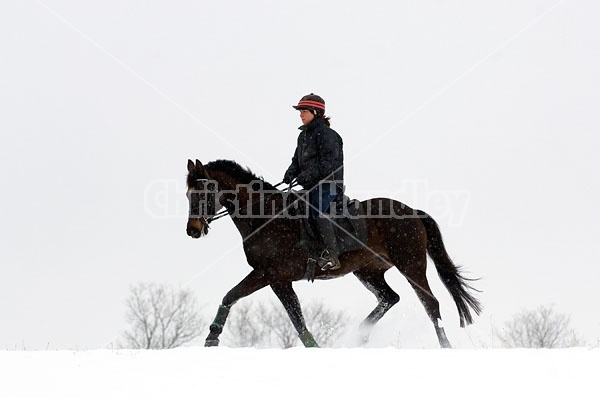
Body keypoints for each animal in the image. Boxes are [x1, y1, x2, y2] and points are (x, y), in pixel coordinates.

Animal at [185, 159, 480, 348]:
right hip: (368, 271)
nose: (192, 230)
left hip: (412, 265)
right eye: (188, 194)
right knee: (389, 298)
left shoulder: (269, 274)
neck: (264, 215)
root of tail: (413, 212)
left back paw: (445, 347)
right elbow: (296, 319)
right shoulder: (278, 280)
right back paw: (360, 337)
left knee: (431, 304)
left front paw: (212, 338)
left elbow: (233, 296)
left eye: (205, 191)